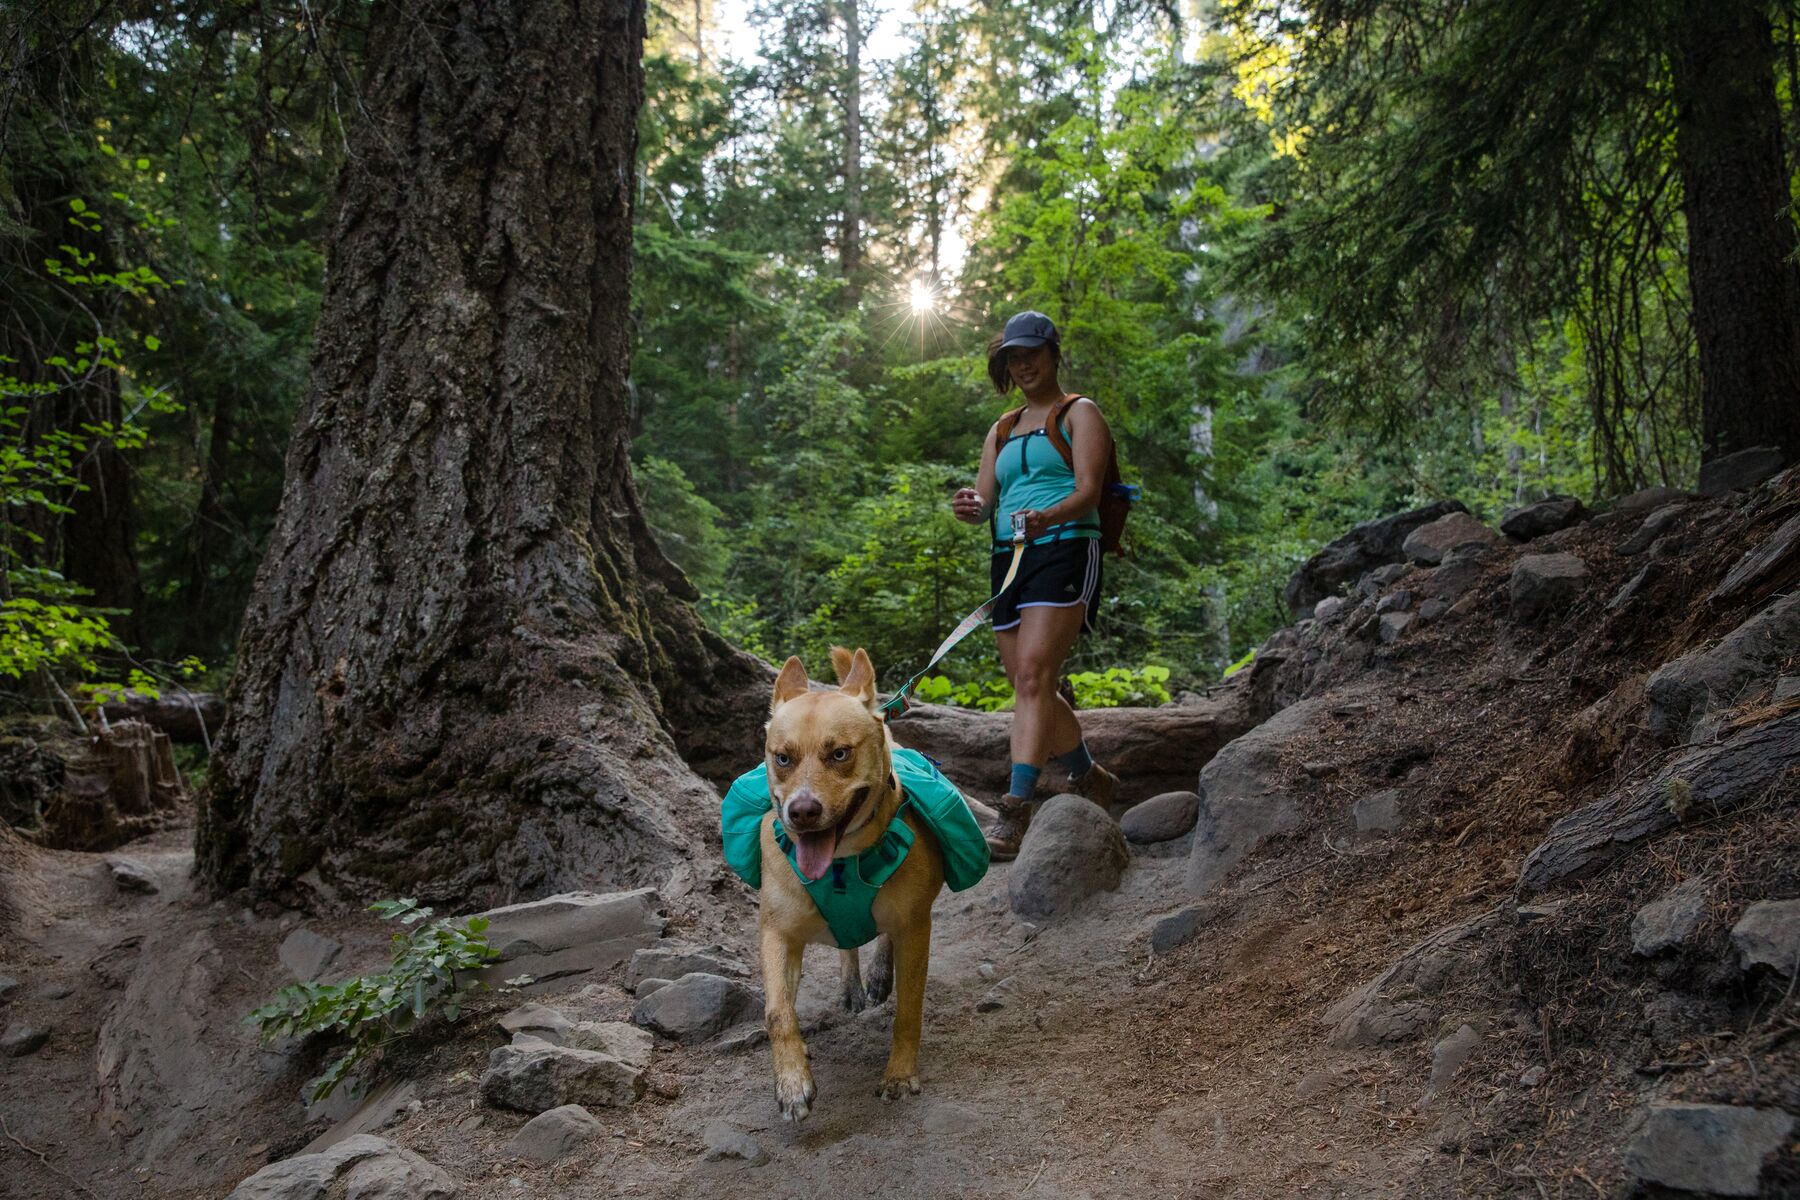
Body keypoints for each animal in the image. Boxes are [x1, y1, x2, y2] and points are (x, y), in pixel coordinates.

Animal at [756, 647, 943, 1129]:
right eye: (782, 758)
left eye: (839, 753)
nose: (802, 811)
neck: (841, 864)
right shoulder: (778, 933)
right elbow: (778, 1012)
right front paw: (791, 1081)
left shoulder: (916, 927)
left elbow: (908, 1008)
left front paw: (899, 1074)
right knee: (848, 944)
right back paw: (852, 985)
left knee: (885, 938)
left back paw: (876, 974)